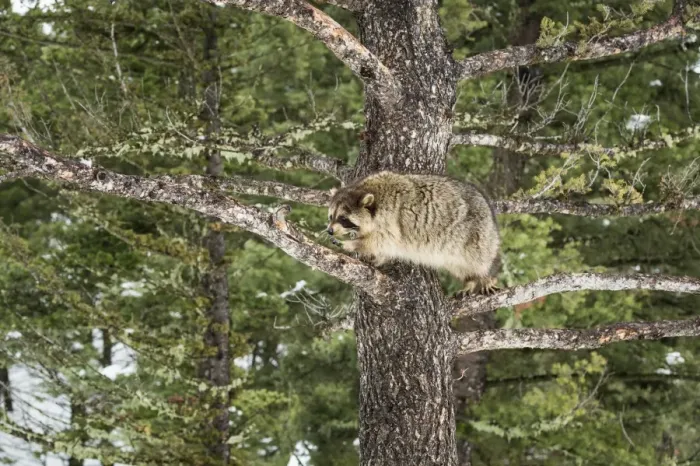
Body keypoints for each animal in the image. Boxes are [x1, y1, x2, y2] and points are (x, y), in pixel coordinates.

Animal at [327, 171, 500, 295]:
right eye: (330, 216)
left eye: (343, 218)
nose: (329, 231)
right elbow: (382, 248)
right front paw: (374, 257)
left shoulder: (391, 221)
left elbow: (380, 241)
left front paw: (351, 244)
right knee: (459, 267)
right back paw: (470, 281)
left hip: (476, 236)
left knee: (478, 260)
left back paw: (484, 277)